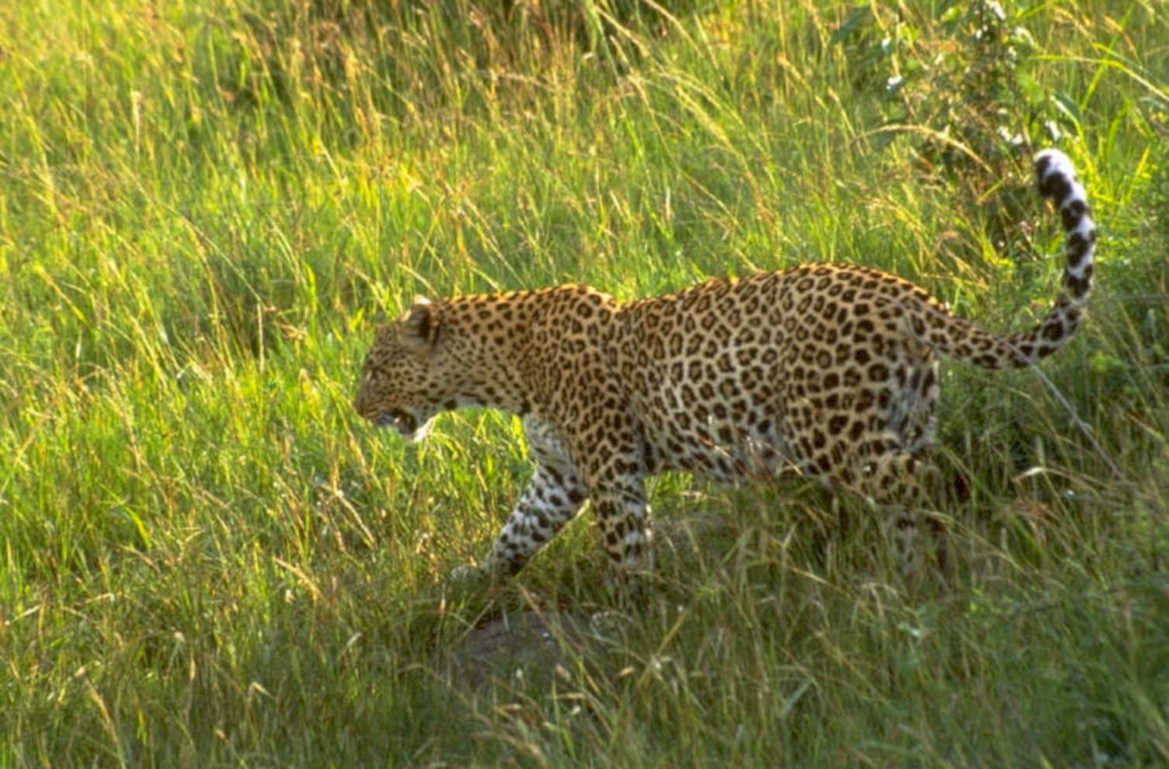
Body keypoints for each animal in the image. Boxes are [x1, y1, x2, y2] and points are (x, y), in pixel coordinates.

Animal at [354, 149, 1096, 579]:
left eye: (374, 367)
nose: (357, 409)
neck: (501, 371)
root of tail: (898, 289)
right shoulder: (558, 475)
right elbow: (515, 532)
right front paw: (470, 581)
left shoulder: (610, 467)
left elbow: (623, 544)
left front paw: (630, 624)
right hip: (903, 415)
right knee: (910, 499)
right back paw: (914, 582)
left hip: (835, 436)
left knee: (932, 482)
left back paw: (999, 538)